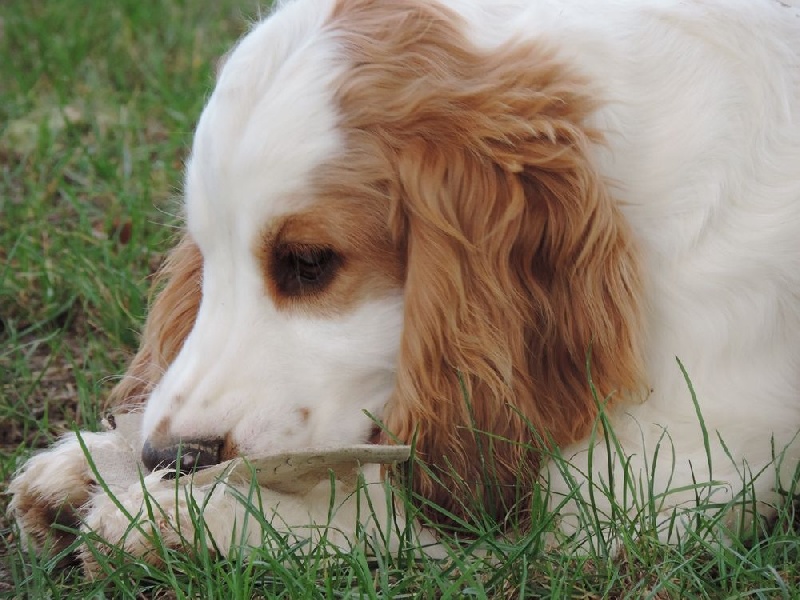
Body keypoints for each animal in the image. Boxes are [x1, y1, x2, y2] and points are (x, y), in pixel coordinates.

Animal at [7, 0, 800, 568]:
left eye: (308, 261)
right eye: (208, 254)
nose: (166, 460)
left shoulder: (666, 481)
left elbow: (395, 505)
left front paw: (182, 514)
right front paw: (95, 463)